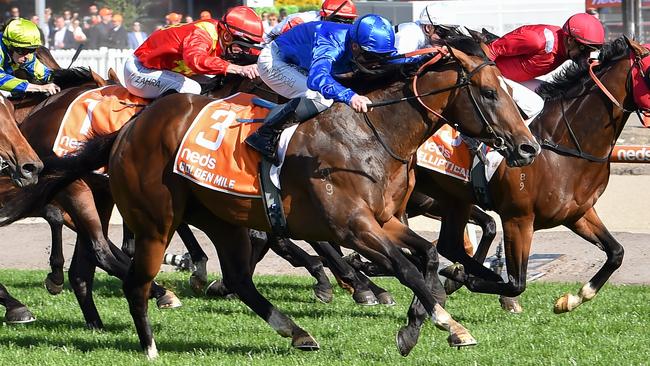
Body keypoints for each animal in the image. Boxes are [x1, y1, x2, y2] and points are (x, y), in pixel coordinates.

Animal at [11, 37, 540, 358]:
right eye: (489, 93)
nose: (528, 147)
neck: (371, 133)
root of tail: (128, 129)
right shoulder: (352, 226)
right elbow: (406, 267)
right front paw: (442, 321)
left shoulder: (385, 219)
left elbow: (427, 256)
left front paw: (422, 322)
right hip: (155, 218)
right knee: (136, 279)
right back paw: (150, 342)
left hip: (219, 216)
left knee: (239, 279)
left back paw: (297, 332)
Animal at [390, 36, 648, 354]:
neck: (562, 146)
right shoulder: (518, 219)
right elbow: (516, 282)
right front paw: (466, 279)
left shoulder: (578, 213)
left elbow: (616, 253)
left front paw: (569, 300)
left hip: (452, 200)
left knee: (448, 244)